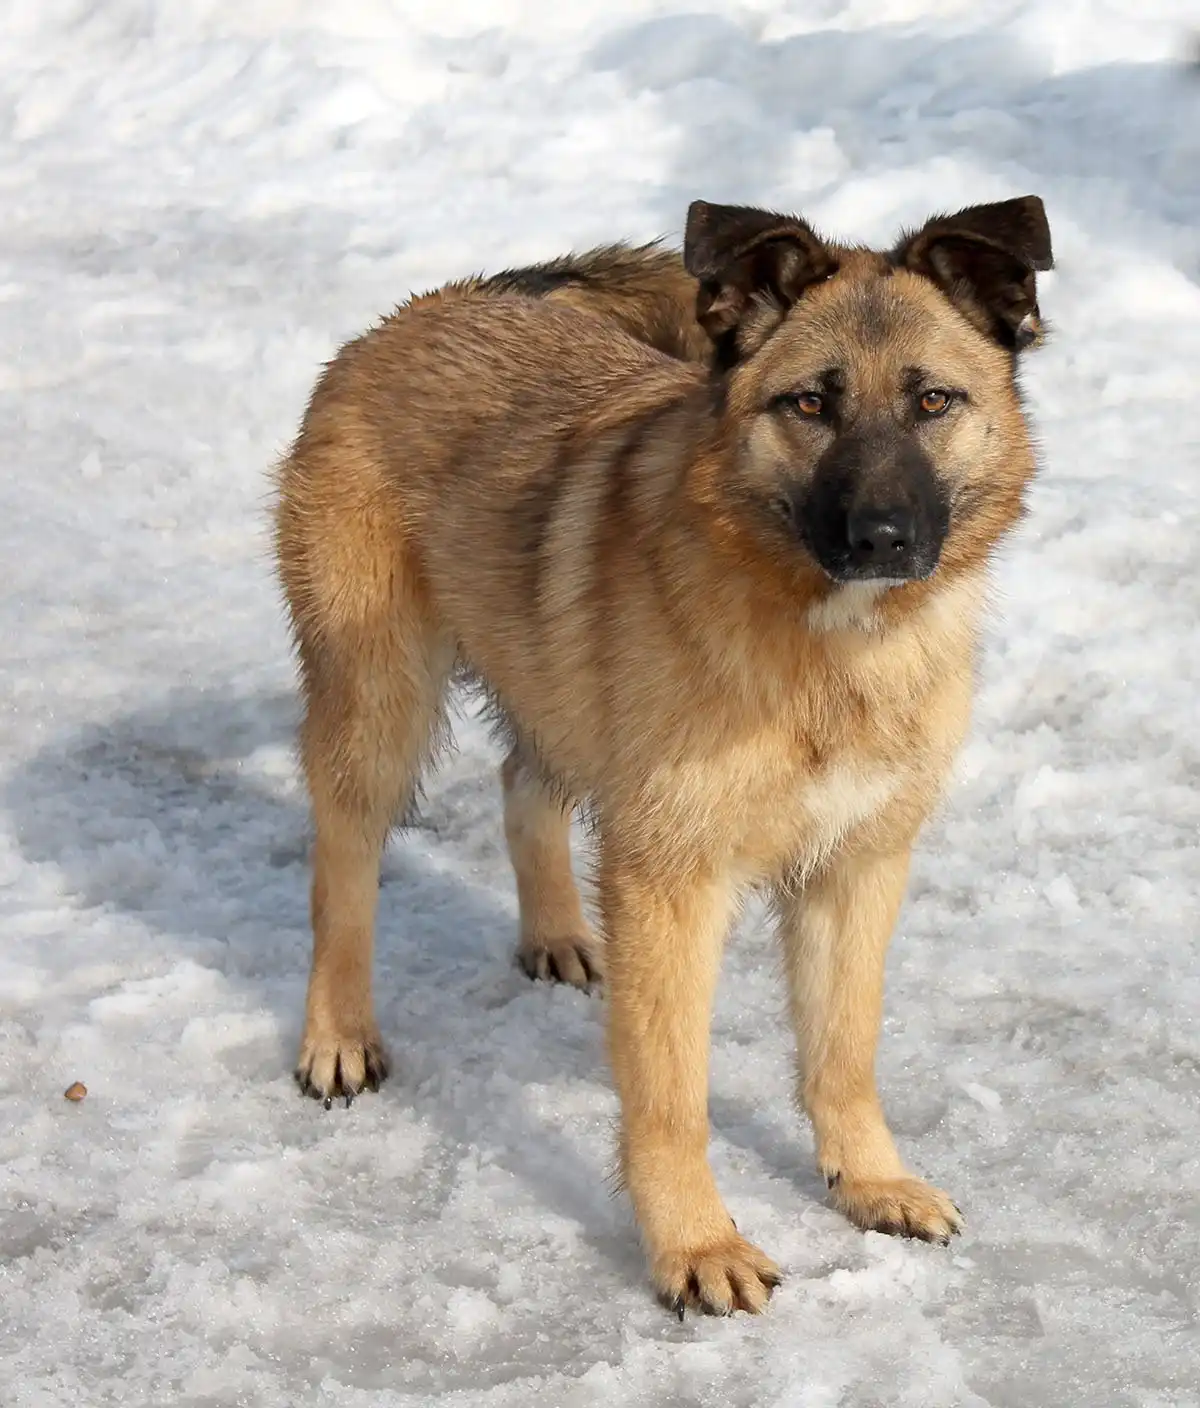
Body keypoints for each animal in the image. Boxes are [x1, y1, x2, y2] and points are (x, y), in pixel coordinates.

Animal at [273, 194, 1053, 1315]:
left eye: (935, 400)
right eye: (809, 404)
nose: (883, 536)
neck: (828, 648)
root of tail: (440, 300)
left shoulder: (857, 869)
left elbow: (844, 1052)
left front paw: (871, 1182)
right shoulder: (672, 882)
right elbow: (669, 1091)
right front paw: (694, 1244)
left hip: (552, 686)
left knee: (523, 782)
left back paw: (556, 931)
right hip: (378, 701)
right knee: (343, 864)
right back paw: (336, 1035)